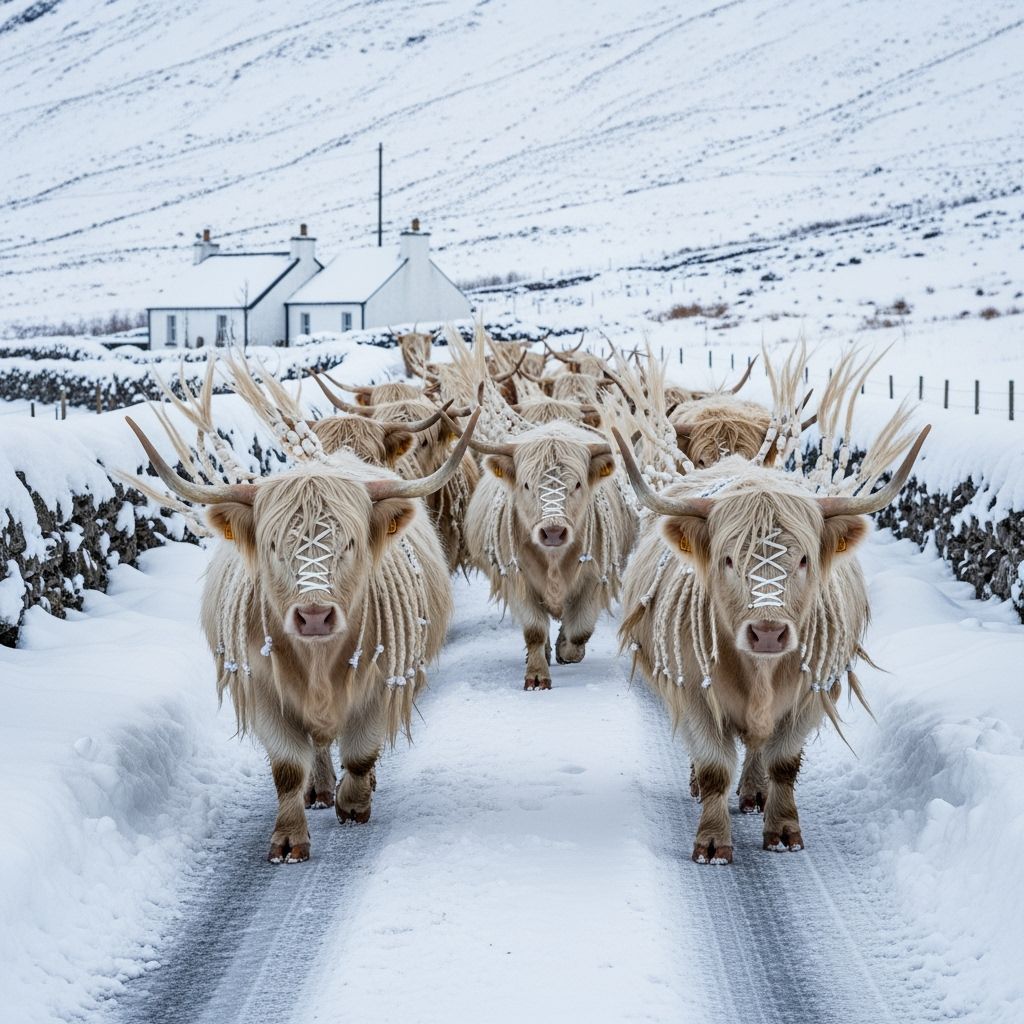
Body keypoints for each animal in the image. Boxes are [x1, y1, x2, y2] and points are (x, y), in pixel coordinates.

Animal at [125, 409, 481, 863]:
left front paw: (354, 804)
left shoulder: (381, 680)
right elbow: (289, 768)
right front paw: (289, 838)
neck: (318, 660)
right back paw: (320, 788)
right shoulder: (264, 688)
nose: (314, 615)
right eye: (274, 544)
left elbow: (361, 753)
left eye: (348, 543)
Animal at [464, 420, 638, 689]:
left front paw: (565, 650)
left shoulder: (593, 580)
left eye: (577, 484)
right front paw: (537, 675)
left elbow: (579, 631)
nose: (553, 532)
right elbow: (535, 631)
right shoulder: (519, 581)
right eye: (527, 484)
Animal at [612, 423, 929, 863]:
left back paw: (755, 792)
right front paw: (713, 842)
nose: (766, 632)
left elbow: (783, 763)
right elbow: (714, 768)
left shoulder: (809, 693)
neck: (758, 671)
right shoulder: (694, 691)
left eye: (803, 559)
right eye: (729, 559)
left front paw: (782, 830)